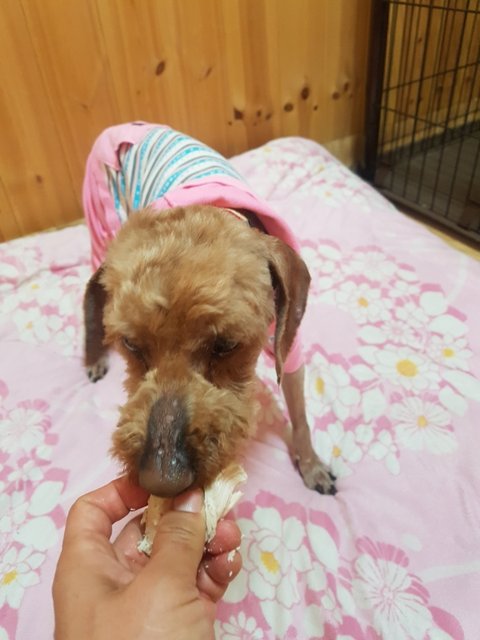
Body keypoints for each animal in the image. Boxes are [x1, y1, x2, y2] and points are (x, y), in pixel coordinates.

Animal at [83, 122, 336, 497]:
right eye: (130, 344)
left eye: (226, 345)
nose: (162, 481)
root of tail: (118, 128)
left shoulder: (288, 343)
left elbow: (300, 414)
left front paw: (312, 466)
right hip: (101, 224)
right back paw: (94, 358)